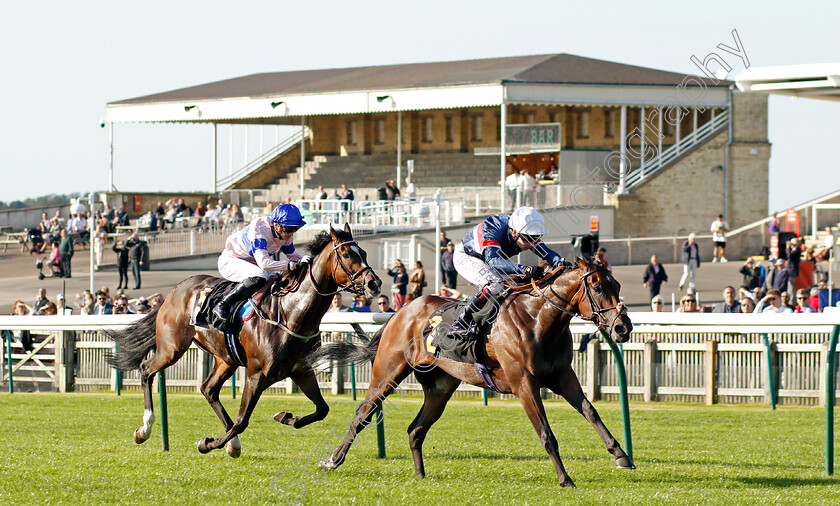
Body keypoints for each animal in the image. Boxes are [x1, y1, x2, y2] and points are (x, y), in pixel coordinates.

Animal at [107, 223, 380, 456]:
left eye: (365, 252)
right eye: (347, 254)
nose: (374, 283)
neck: (290, 313)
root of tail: (174, 290)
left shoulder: (301, 369)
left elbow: (322, 409)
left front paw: (285, 417)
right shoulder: (256, 373)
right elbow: (242, 420)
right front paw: (207, 443)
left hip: (226, 358)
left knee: (208, 389)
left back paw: (232, 443)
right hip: (172, 347)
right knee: (146, 370)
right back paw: (145, 428)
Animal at [312, 258, 632, 488]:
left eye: (617, 284)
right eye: (598, 287)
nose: (622, 327)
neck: (537, 319)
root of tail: (400, 312)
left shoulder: (562, 375)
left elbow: (590, 411)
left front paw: (622, 456)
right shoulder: (523, 383)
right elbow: (546, 433)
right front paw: (565, 479)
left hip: (441, 387)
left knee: (416, 428)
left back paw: (420, 475)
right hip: (387, 373)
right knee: (363, 413)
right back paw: (333, 460)